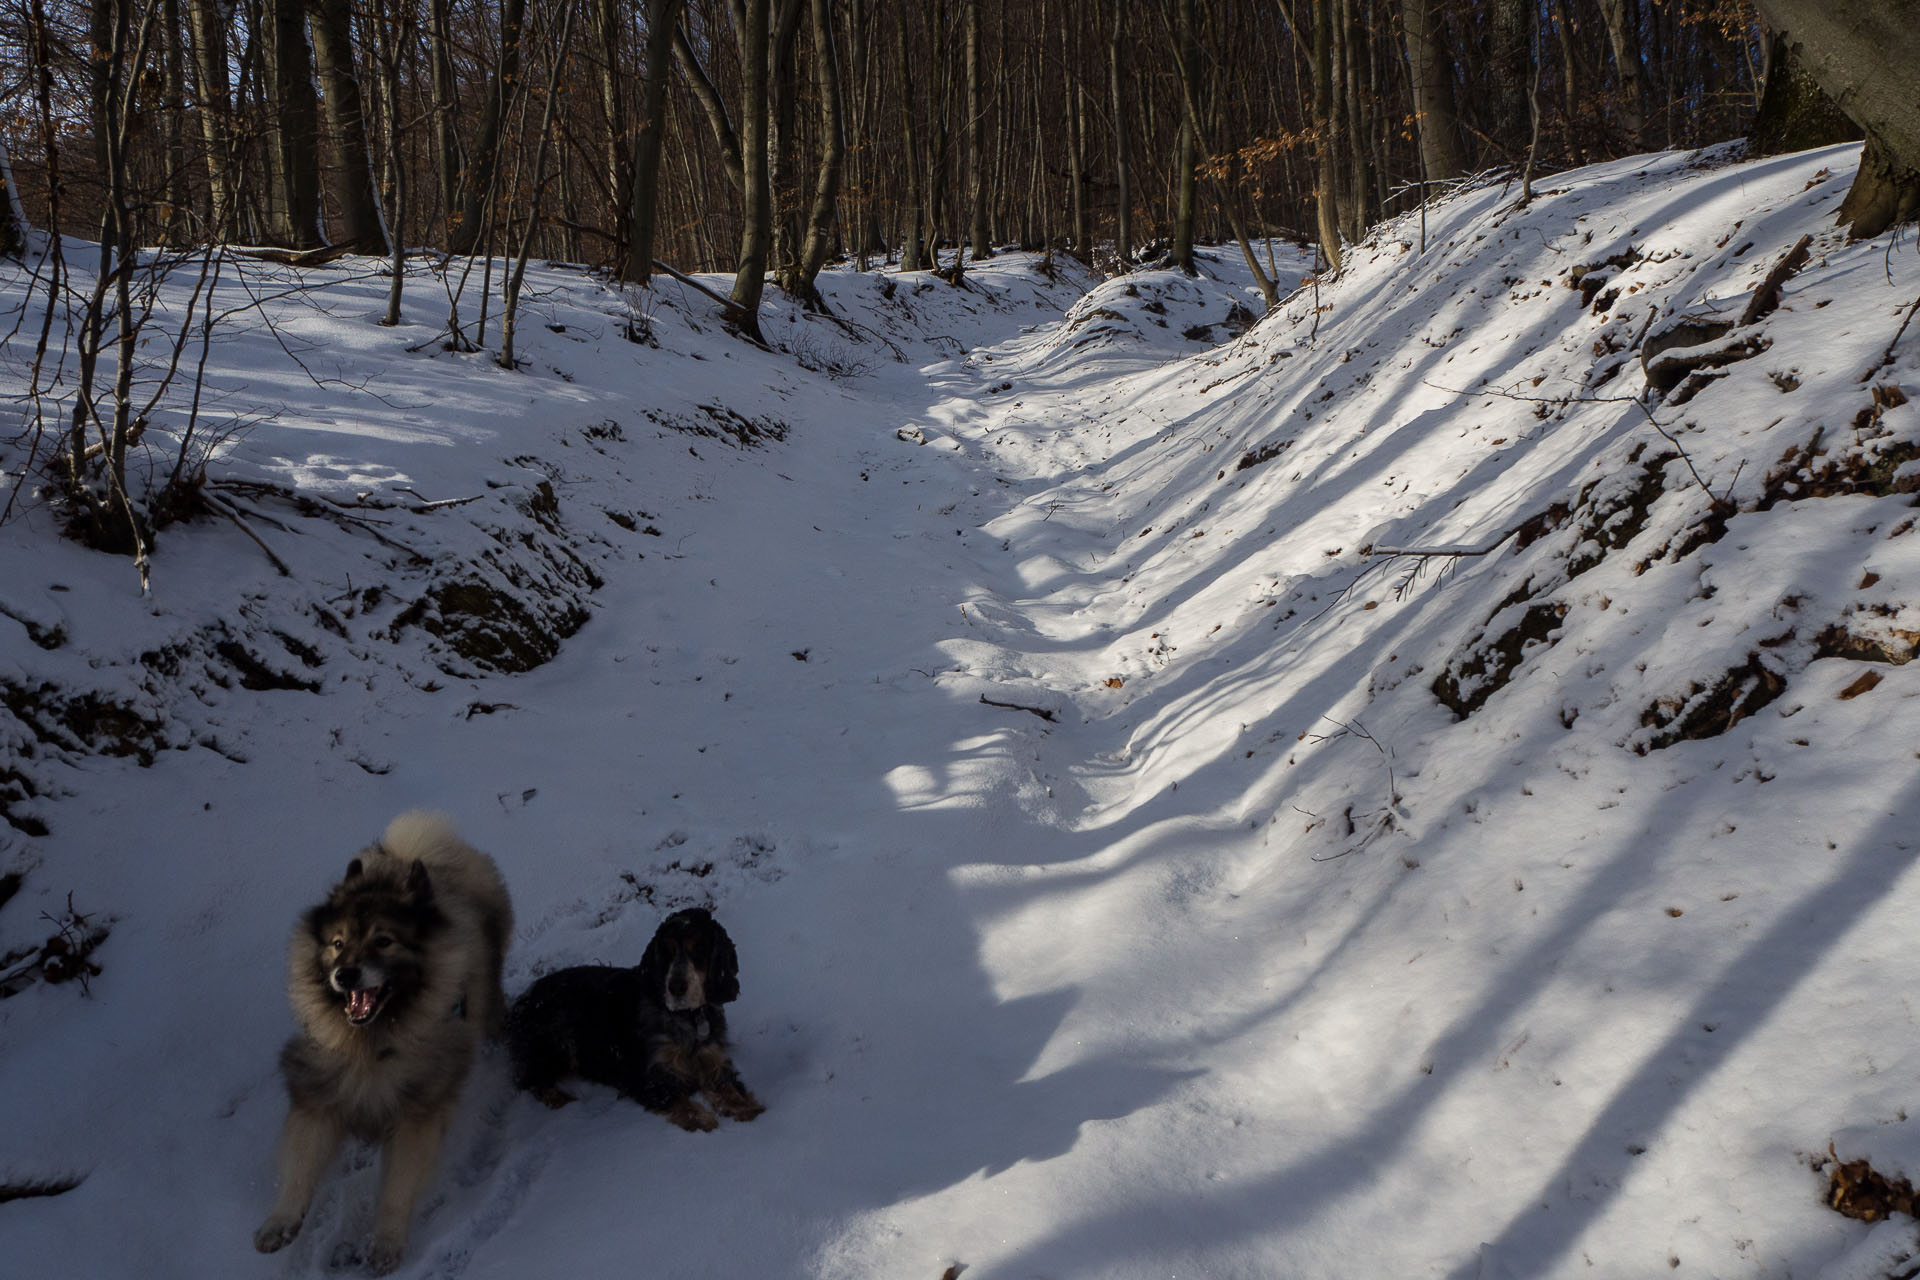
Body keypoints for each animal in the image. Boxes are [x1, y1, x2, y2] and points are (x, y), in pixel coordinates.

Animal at [253, 817, 510, 1274]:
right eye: (338, 943)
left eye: (384, 941)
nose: (345, 975)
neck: (371, 1045)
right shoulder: (319, 1099)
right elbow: (300, 1167)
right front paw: (280, 1222)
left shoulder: (416, 1114)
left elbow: (397, 1189)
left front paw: (386, 1242)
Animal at [510, 909, 764, 1128]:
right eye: (666, 951)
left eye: (699, 949)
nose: (676, 987)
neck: (689, 1016)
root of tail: (522, 1001)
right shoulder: (650, 1075)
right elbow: (679, 1101)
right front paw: (704, 1121)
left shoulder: (713, 1059)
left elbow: (729, 1088)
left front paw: (749, 1110)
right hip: (558, 1044)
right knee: (531, 1079)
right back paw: (563, 1101)